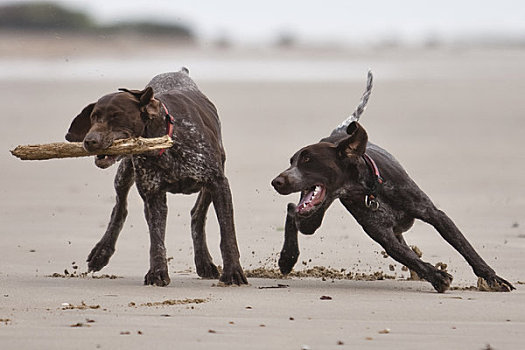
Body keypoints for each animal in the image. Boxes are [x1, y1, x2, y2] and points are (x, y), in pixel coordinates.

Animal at [65, 69, 246, 288]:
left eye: (117, 116)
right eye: (94, 117)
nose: (89, 141)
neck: (166, 141)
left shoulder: (218, 183)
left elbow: (227, 234)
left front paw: (233, 272)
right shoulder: (153, 195)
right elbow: (156, 239)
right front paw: (158, 272)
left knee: (197, 214)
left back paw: (203, 260)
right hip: (125, 172)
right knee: (120, 208)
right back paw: (101, 252)